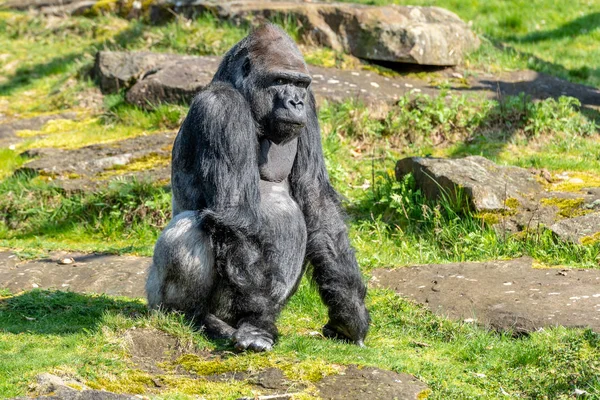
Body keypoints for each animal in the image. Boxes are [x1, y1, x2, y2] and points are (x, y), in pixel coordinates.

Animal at [146, 23, 370, 352]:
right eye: (280, 80)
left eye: (300, 84)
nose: (295, 102)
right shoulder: (222, 109)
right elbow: (235, 215)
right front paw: (256, 324)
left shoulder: (311, 108)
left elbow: (315, 198)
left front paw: (349, 312)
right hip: (156, 298)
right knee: (190, 227)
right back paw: (195, 317)